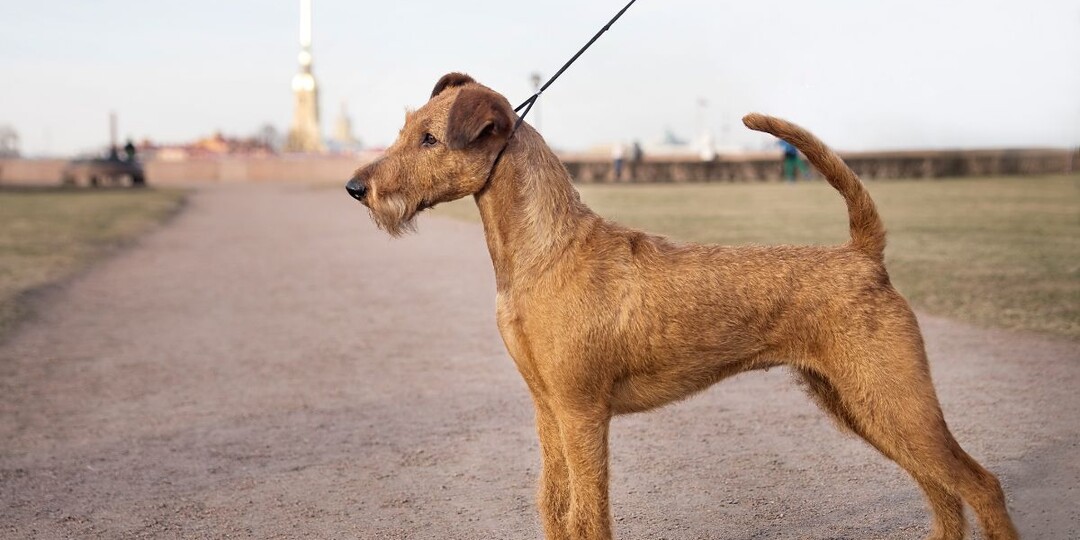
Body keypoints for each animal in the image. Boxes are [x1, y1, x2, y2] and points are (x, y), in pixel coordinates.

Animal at [343, 72, 1010, 540]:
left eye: (430, 138)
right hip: (861, 404)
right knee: (943, 492)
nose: (356, 187)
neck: (542, 252)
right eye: (405, 129)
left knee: (981, 485)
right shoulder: (547, 408)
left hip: (895, 399)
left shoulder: (582, 411)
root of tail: (864, 255)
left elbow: (588, 514)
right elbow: (554, 506)